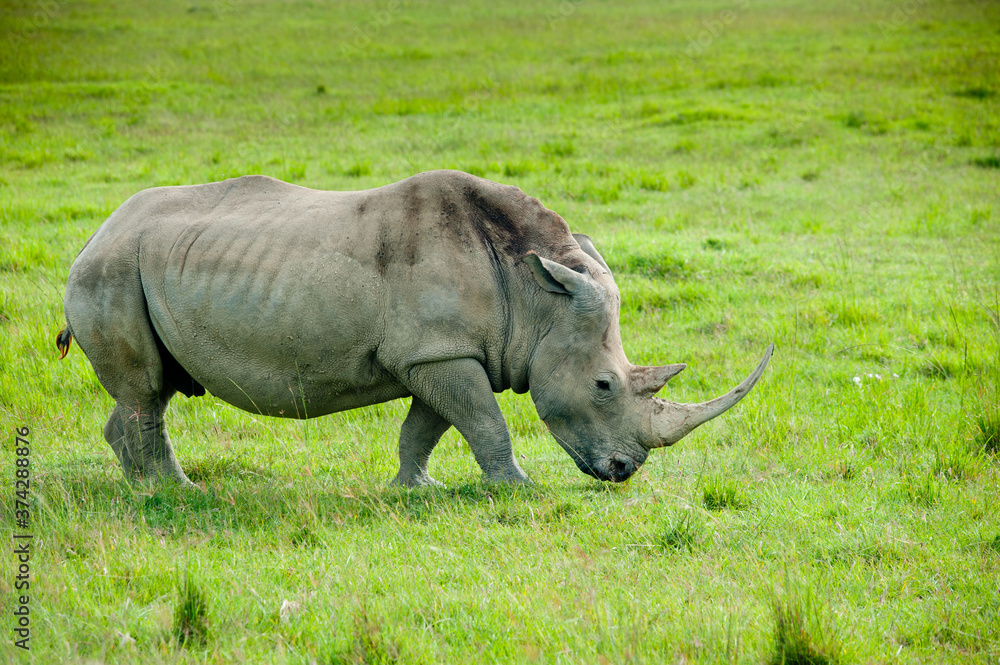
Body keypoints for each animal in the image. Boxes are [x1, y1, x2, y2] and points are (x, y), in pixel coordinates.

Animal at [58, 170, 772, 487]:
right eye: (603, 385)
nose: (623, 471)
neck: (539, 295)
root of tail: (92, 235)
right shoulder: (439, 353)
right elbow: (485, 421)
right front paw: (518, 489)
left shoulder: (443, 352)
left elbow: (430, 427)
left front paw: (414, 490)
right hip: (111, 270)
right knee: (145, 389)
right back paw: (174, 492)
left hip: (132, 265)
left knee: (151, 390)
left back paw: (147, 487)